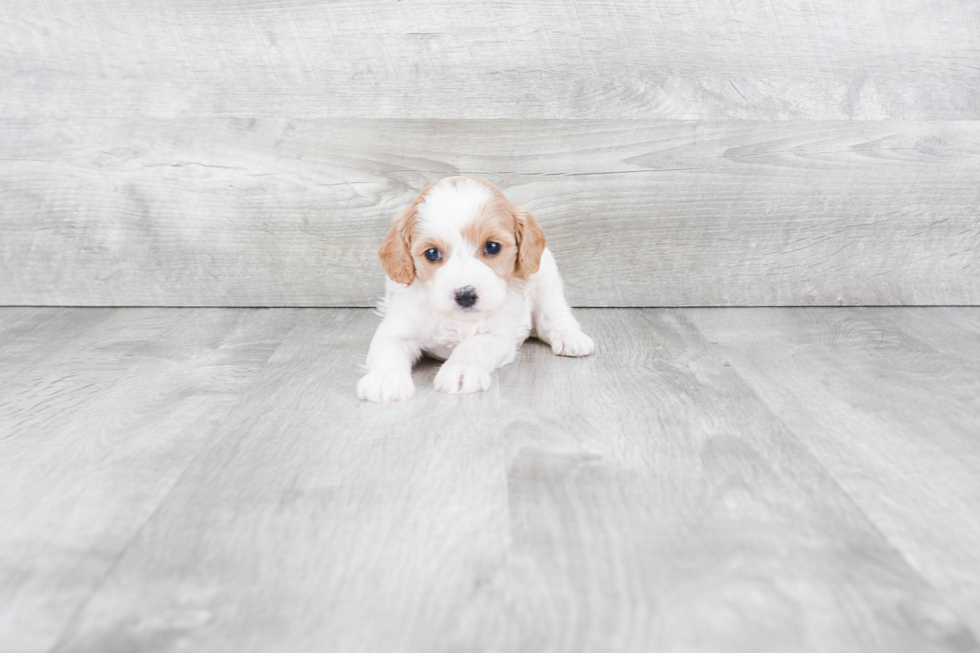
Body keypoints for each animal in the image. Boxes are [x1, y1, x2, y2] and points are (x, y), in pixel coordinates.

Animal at [356, 178, 592, 402]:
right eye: (431, 253)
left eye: (493, 247)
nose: (465, 295)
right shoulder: (397, 327)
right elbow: (388, 349)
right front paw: (385, 379)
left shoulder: (498, 335)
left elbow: (473, 345)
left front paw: (460, 371)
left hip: (546, 276)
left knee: (553, 315)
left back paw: (570, 337)